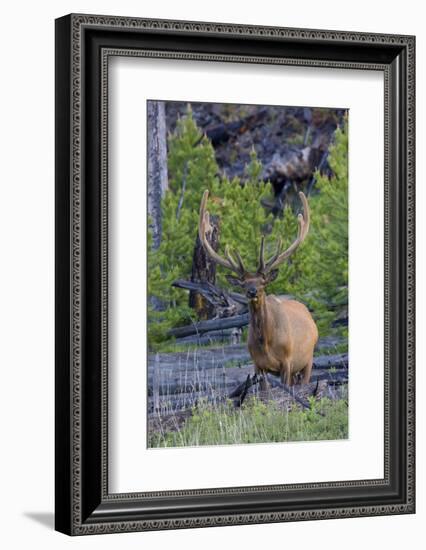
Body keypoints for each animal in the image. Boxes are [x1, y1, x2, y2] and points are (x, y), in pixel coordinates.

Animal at [199, 190, 316, 388]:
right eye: (243, 284)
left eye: (262, 282)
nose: (252, 291)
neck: (266, 343)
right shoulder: (258, 365)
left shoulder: (287, 361)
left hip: (307, 360)